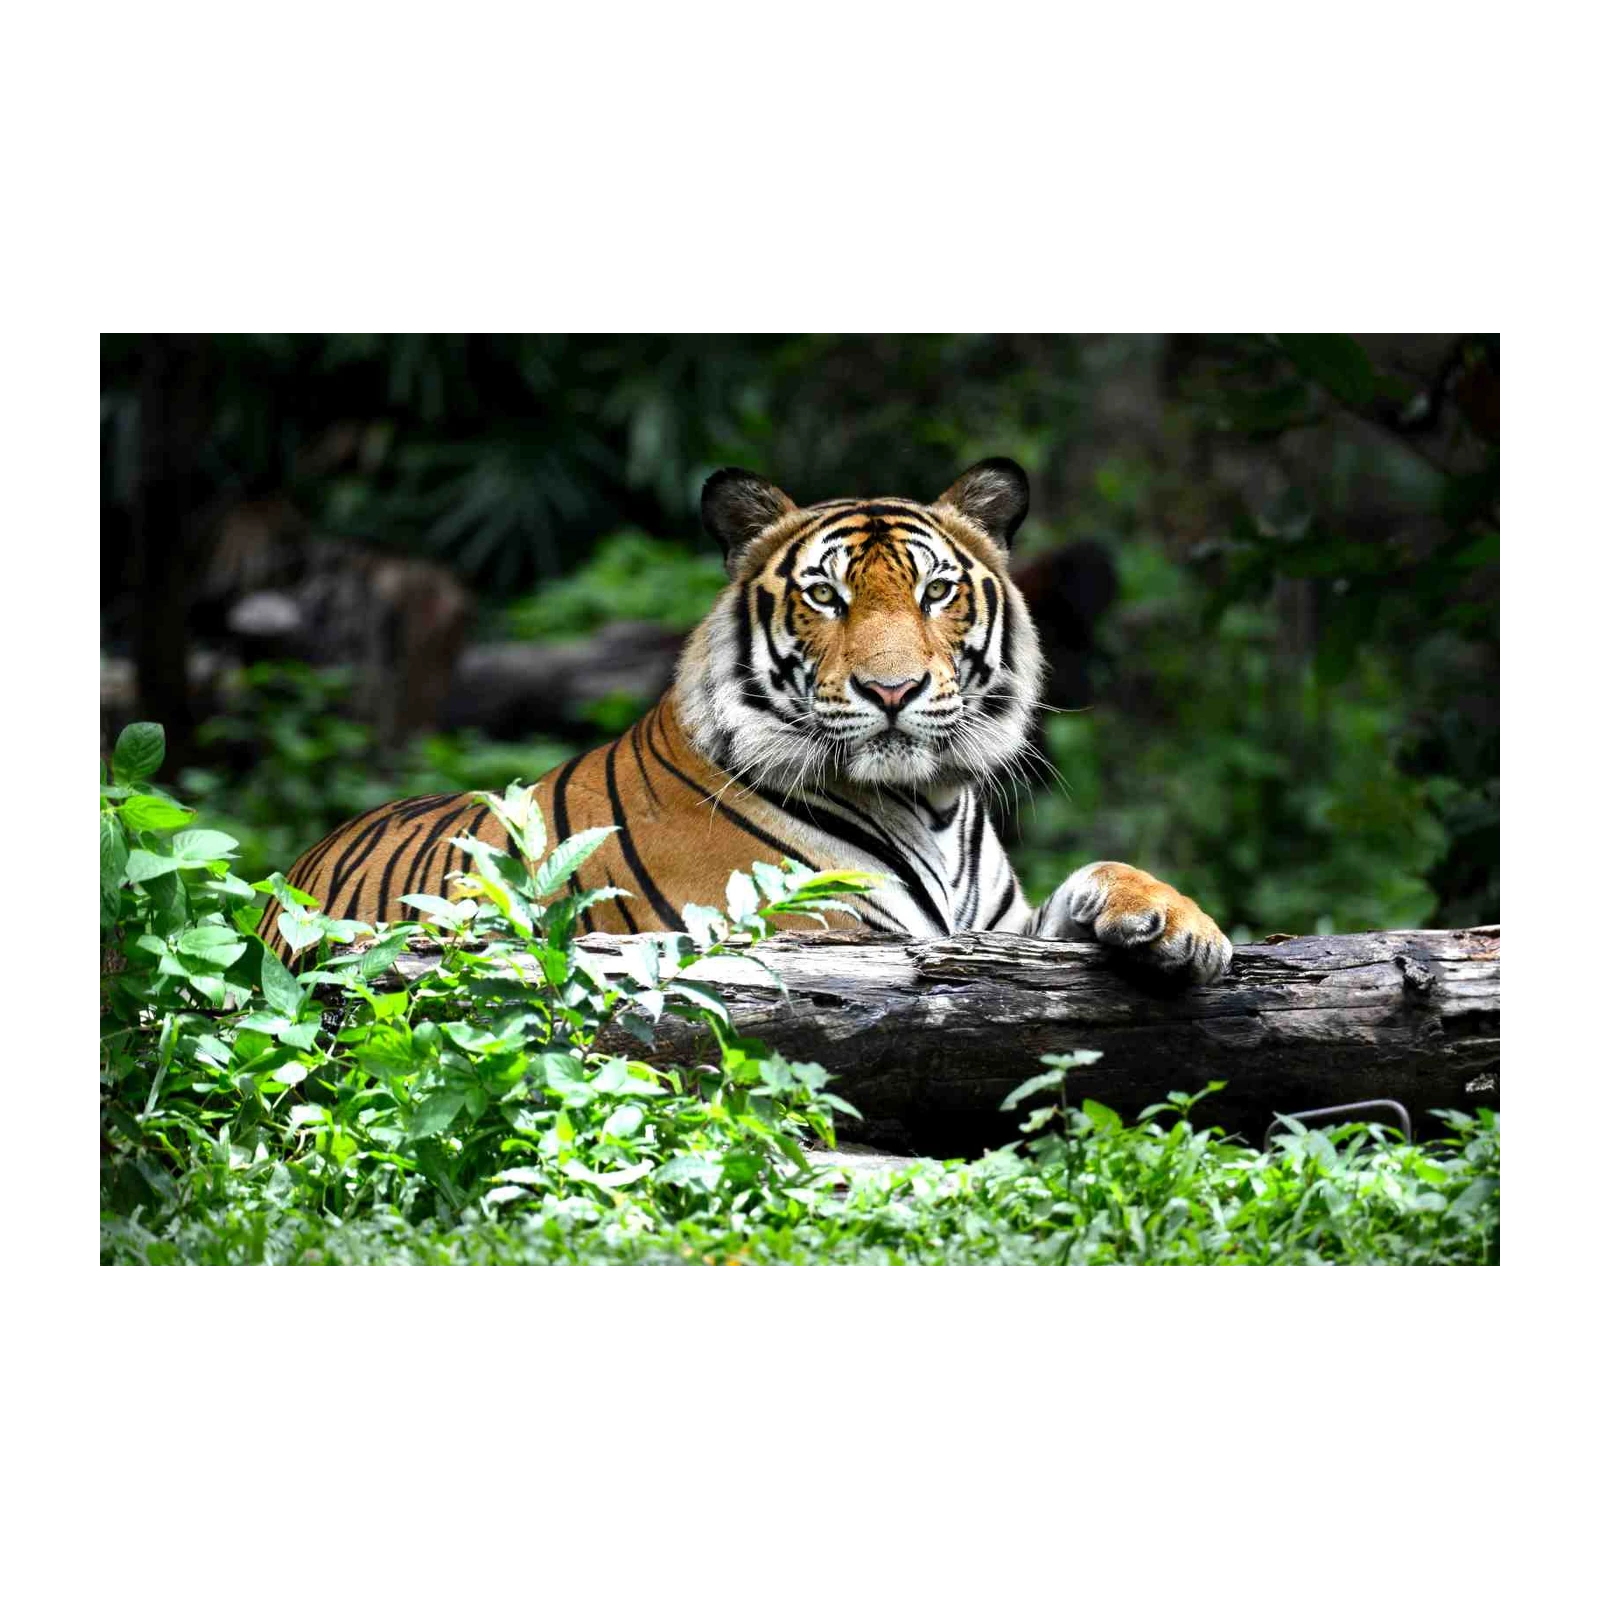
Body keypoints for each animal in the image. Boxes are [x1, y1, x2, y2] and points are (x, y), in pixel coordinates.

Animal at [263, 458, 1232, 982]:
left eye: (935, 591)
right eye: (825, 596)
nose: (892, 691)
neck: (929, 804)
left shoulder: (996, 933)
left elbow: (1098, 875)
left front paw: (1180, 926)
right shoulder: (816, 936)